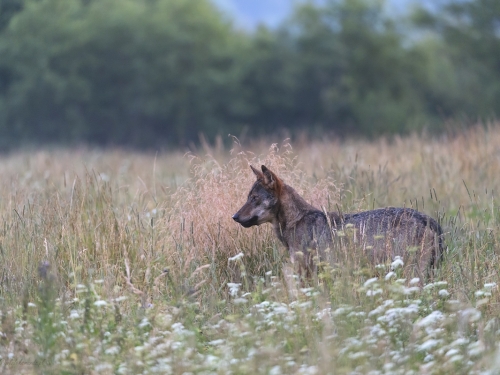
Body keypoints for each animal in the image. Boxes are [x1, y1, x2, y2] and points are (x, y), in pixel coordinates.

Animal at [232, 165, 444, 280]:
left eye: (254, 198)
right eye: (248, 197)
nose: (234, 216)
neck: (297, 220)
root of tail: (429, 219)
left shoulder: (305, 273)